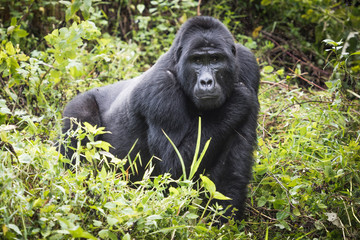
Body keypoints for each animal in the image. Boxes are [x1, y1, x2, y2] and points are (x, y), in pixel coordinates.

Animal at [60, 16, 260, 219]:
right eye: (196, 60)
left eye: (215, 59)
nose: (206, 81)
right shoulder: (161, 87)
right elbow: (172, 167)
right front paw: (236, 100)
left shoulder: (248, 64)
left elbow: (234, 161)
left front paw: (223, 219)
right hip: (77, 106)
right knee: (79, 126)